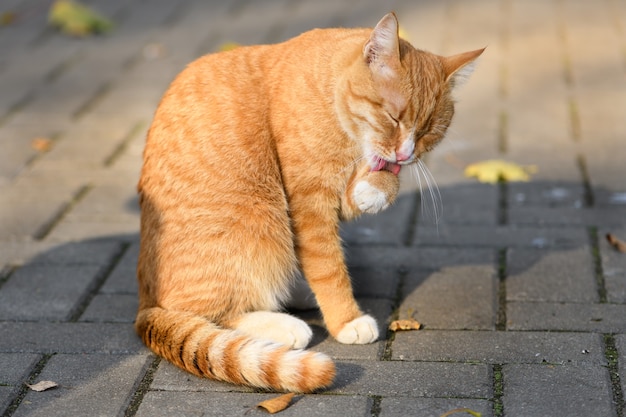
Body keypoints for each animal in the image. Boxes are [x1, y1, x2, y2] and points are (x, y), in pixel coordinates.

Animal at [134, 11, 480, 392]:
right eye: (393, 117)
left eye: (429, 131)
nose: (406, 154)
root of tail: (146, 304)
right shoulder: (310, 203)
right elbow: (328, 267)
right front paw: (346, 319)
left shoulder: (339, 197)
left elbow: (373, 185)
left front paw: (378, 185)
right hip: (260, 224)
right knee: (213, 313)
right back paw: (285, 325)